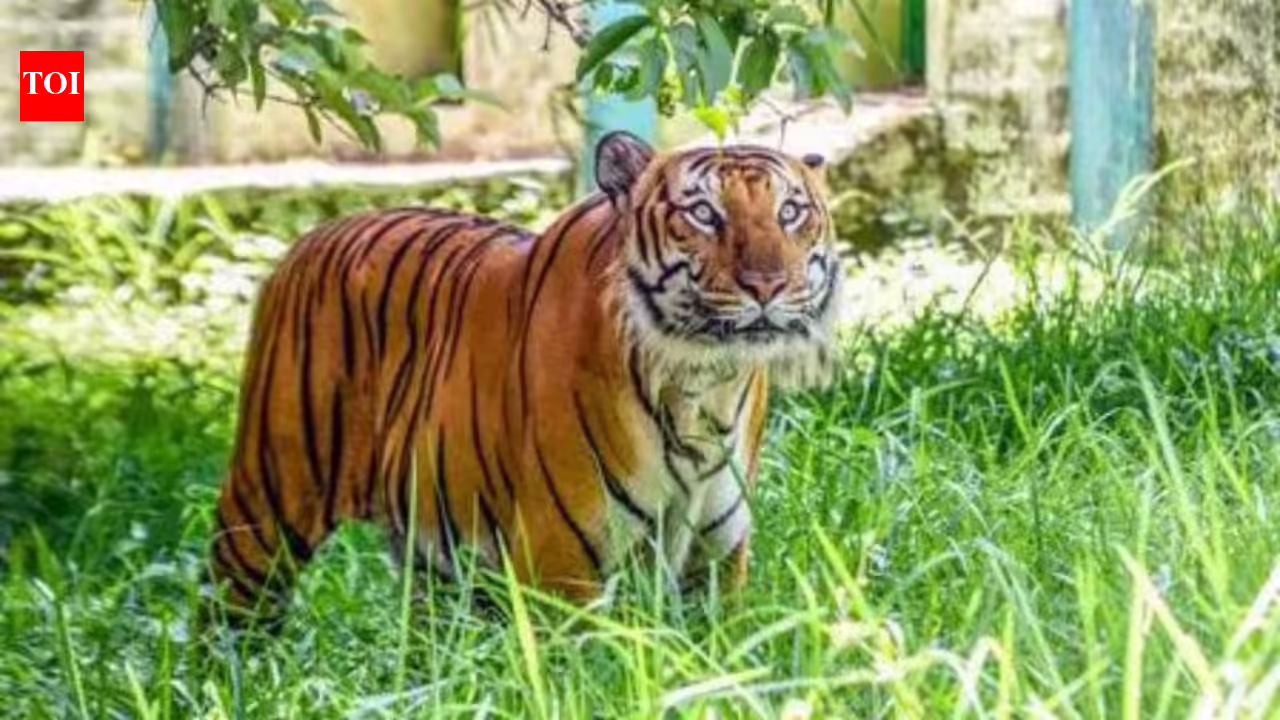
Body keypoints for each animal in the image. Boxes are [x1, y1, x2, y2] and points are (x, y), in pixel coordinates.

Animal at [209, 131, 841, 623]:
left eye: (790, 212)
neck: (701, 381)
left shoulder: (714, 563)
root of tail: (312, 235)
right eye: (704, 214)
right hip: (267, 505)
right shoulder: (561, 563)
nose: (768, 285)